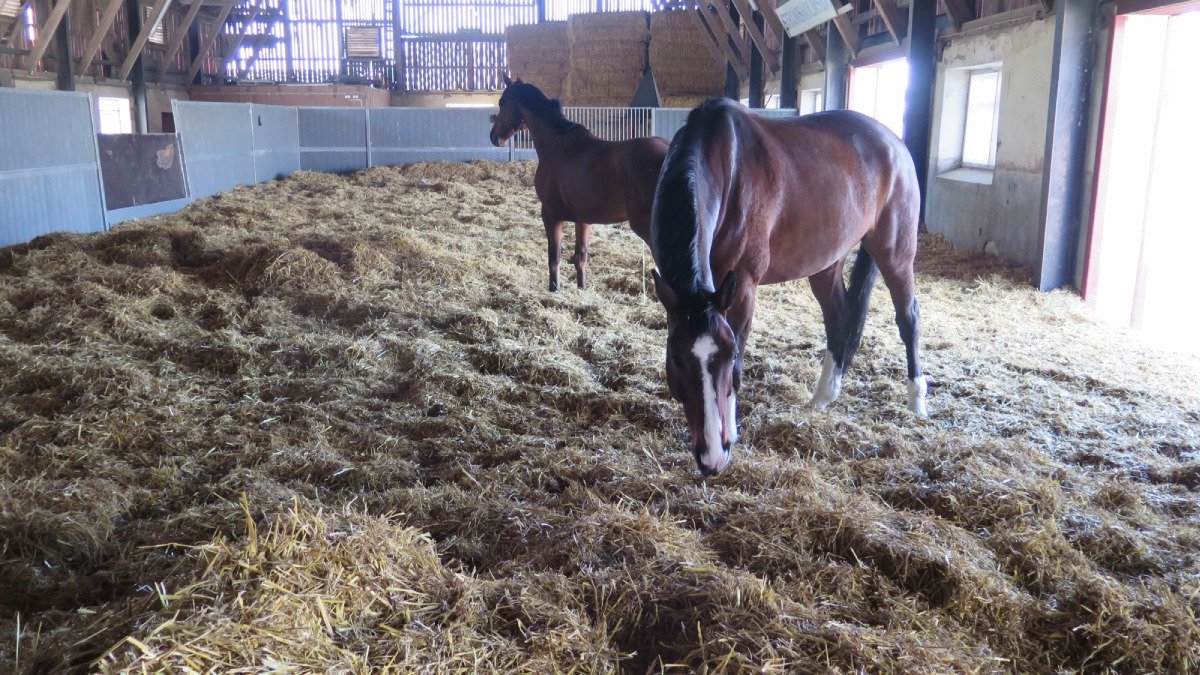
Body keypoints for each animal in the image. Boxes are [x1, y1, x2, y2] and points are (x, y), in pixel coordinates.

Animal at [489, 76, 676, 291]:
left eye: (502, 102)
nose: (494, 137)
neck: (557, 144)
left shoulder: (551, 215)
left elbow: (554, 258)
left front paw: (554, 290)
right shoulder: (583, 219)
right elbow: (581, 257)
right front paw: (581, 288)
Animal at [648, 99, 926, 475]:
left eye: (727, 356)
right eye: (676, 359)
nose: (711, 458)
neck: (724, 167)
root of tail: (894, 142)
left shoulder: (742, 285)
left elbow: (740, 351)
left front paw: (731, 433)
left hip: (895, 251)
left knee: (907, 317)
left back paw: (917, 402)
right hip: (826, 262)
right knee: (840, 318)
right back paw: (824, 396)